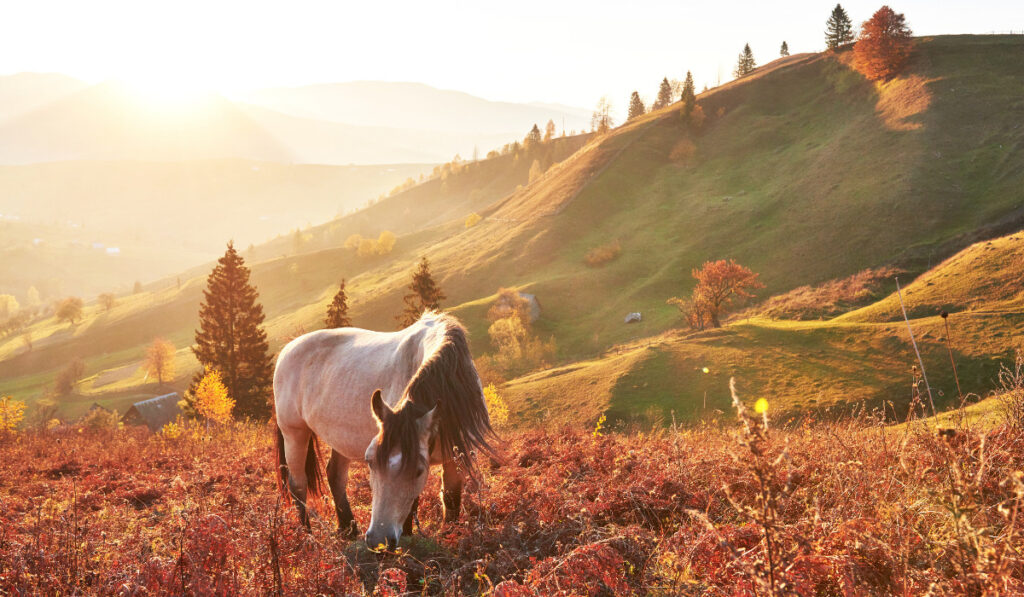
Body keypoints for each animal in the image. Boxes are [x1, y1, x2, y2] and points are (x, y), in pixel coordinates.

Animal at [272, 313, 495, 552]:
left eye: (419, 470)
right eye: (370, 463)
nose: (378, 540)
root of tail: (287, 349)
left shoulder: (456, 454)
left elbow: (452, 494)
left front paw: (450, 533)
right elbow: (413, 505)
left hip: (339, 439)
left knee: (335, 476)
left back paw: (347, 529)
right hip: (294, 434)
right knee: (298, 485)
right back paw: (307, 538)